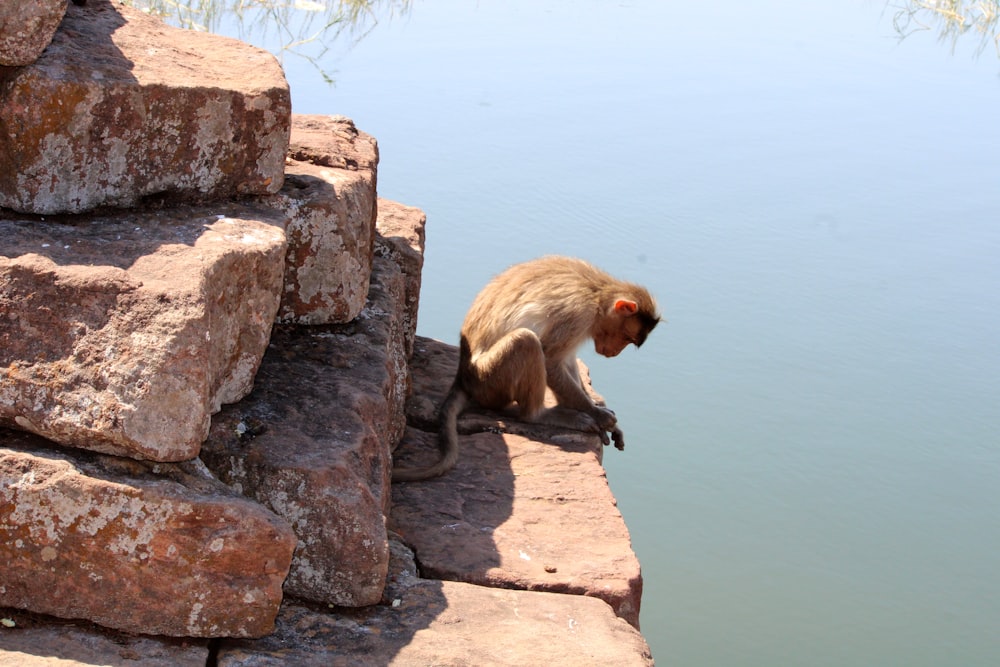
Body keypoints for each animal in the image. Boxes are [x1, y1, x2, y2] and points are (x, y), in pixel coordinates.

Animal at [392, 253, 664, 482]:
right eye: (627, 338)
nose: (614, 353)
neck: (598, 294)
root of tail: (463, 377)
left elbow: (566, 360)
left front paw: (600, 413)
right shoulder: (577, 315)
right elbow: (552, 361)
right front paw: (597, 414)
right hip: (489, 380)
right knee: (527, 342)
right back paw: (539, 415)